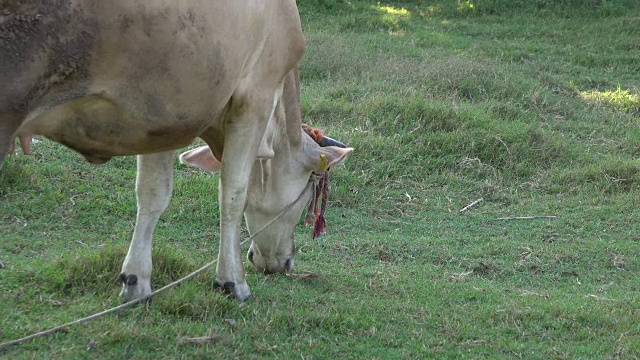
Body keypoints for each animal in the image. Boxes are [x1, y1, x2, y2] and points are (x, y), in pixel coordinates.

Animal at [0, 0, 352, 300]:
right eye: (309, 194)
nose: (286, 262)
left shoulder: (161, 121)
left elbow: (152, 194)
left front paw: (136, 280)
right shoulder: (255, 99)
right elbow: (233, 193)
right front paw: (232, 280)